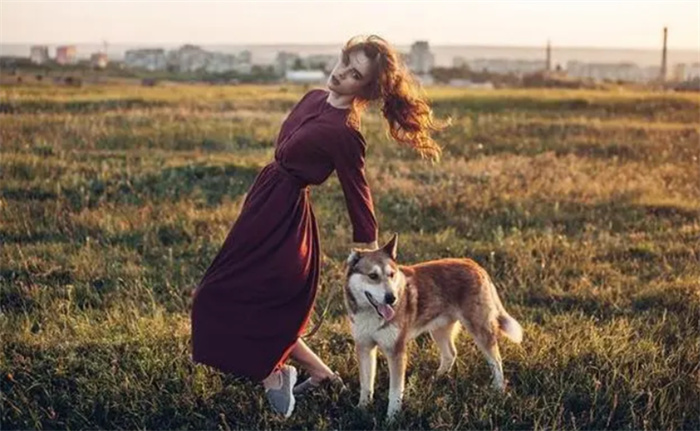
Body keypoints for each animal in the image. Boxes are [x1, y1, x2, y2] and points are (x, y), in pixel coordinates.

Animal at [342, 235, 524, 420]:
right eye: (372, 276)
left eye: (391, 275)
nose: (391, 298)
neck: (370, 313)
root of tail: (474, 264)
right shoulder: (364, 346)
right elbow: (366, 384)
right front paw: (362, 409)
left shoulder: (396, 351)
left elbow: (395, 391)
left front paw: (392, 418)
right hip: (438, 329)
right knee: (451, 354)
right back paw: (436, 378)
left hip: (479, 328)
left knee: (495, 360)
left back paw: (498, 390)